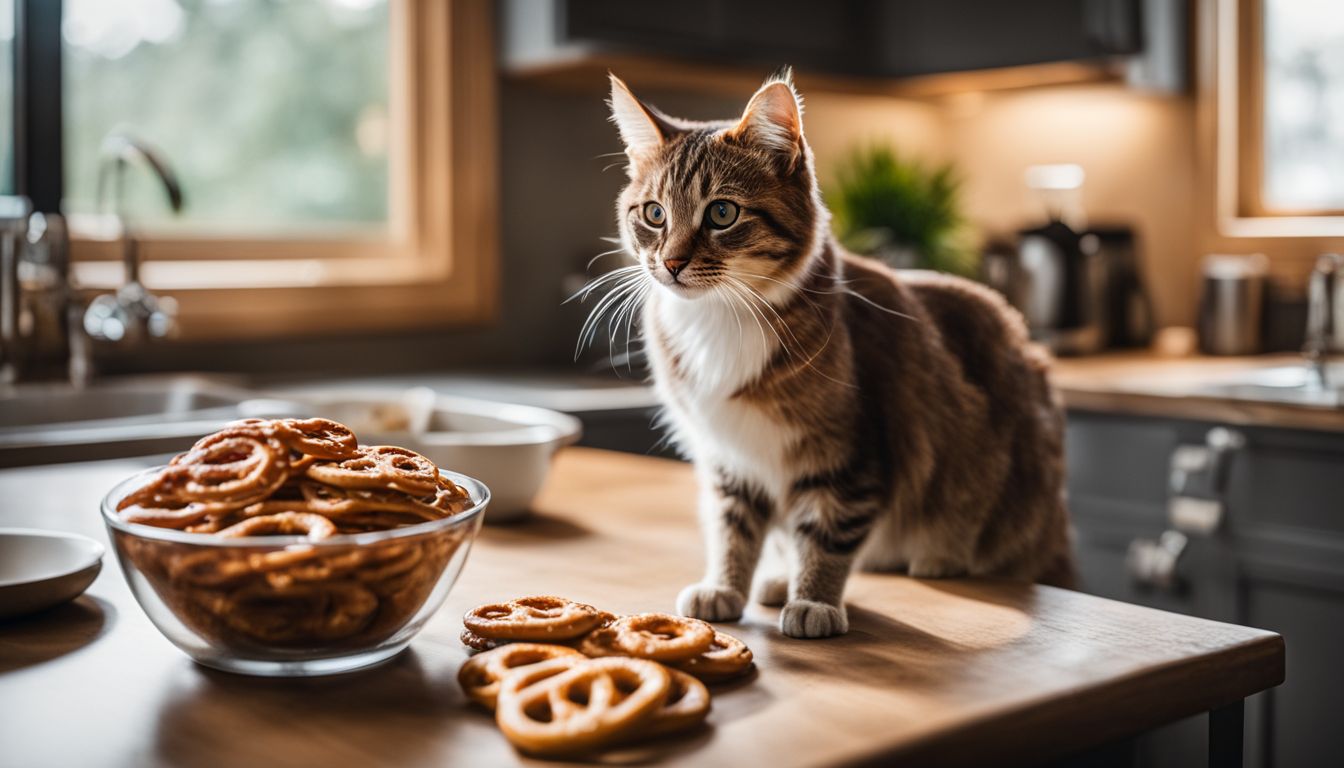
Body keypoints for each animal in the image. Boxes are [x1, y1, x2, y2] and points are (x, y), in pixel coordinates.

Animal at [604, 69, 1075, 640]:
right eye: (654, 214)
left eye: (721, 213)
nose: (671, 263)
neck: (722, 316)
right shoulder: (729, 456)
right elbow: (734, 528)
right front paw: (727, 586)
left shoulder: (850, 453)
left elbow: (827, 532)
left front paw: (814, 600)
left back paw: (938, 560)